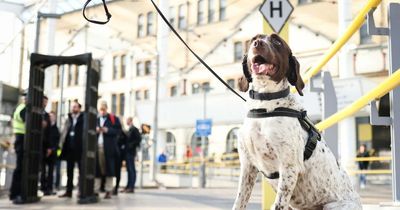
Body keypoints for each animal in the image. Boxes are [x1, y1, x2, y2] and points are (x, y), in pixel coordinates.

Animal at [230, 33, 360, 209]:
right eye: (253, 40)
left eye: (277, 41)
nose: (257, 43)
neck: (264, 104)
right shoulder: (247, 167)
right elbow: (239, 202)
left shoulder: (288, 167)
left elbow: (278, 204)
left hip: (331, 205)